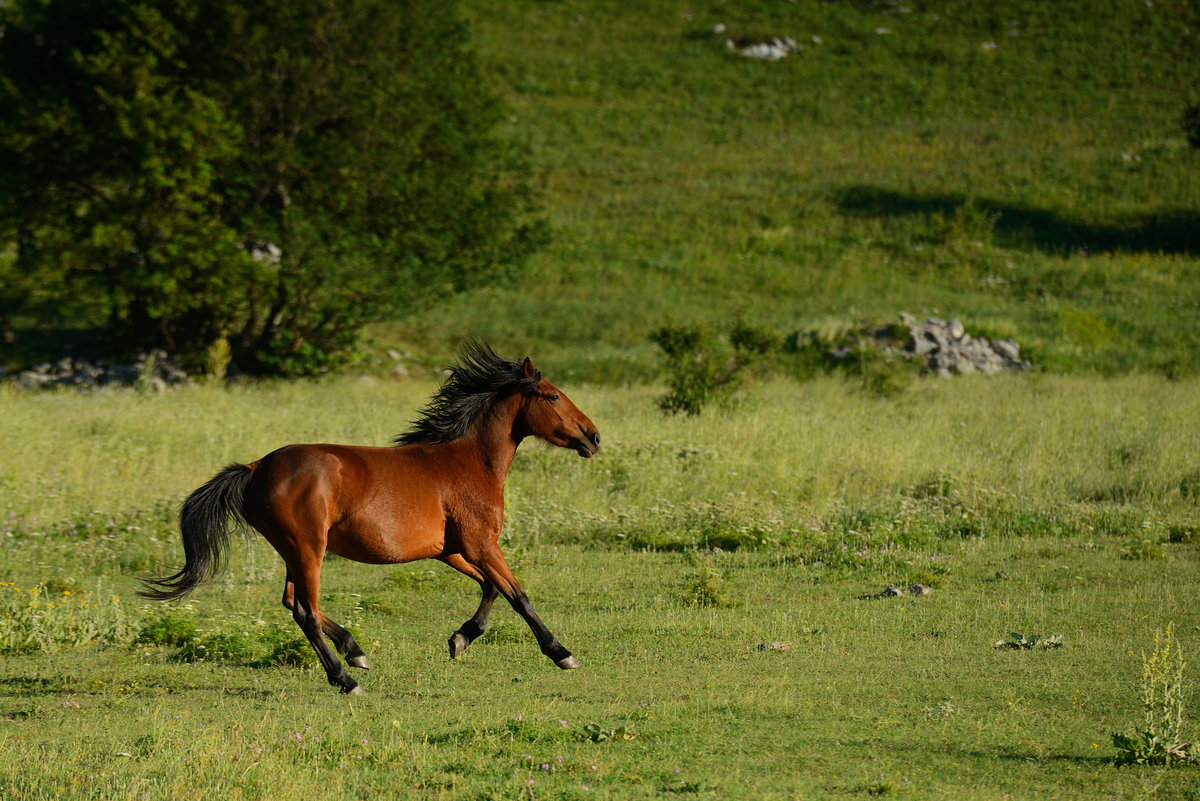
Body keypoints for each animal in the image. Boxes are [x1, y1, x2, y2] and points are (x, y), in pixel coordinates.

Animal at [142, 342, 600, 695]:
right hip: (308, 548)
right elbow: (518, 595)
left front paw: (459, 640)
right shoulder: (481, 545)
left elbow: (490, 589)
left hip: (294, 551)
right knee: (306, 610)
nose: (593, 437)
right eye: (553, 396)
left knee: (294, 602)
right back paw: (346, 679)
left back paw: (355, 651)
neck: (468, 461)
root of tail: (256, 468)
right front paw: (562, 654)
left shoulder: (452, 550)